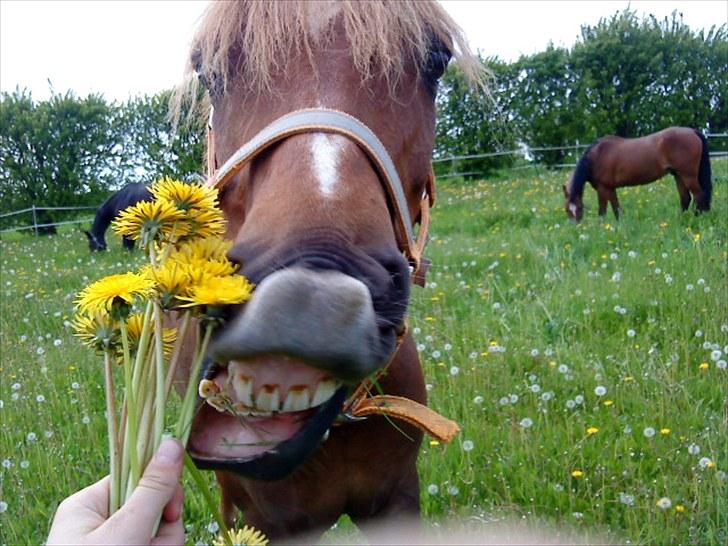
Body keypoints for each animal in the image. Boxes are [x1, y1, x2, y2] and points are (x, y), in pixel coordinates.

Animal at [564, 126, 712, 220]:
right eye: (567, 210)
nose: (576, 225)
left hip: (688, 176)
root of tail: (693, 131)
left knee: (699, 195)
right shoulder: (610, 188)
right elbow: (616, 209)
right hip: (678, 175)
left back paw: (699, 218)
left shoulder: (602, 188)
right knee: (685, 198)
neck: (597, 156)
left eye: (579, 208)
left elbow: (602, 212)